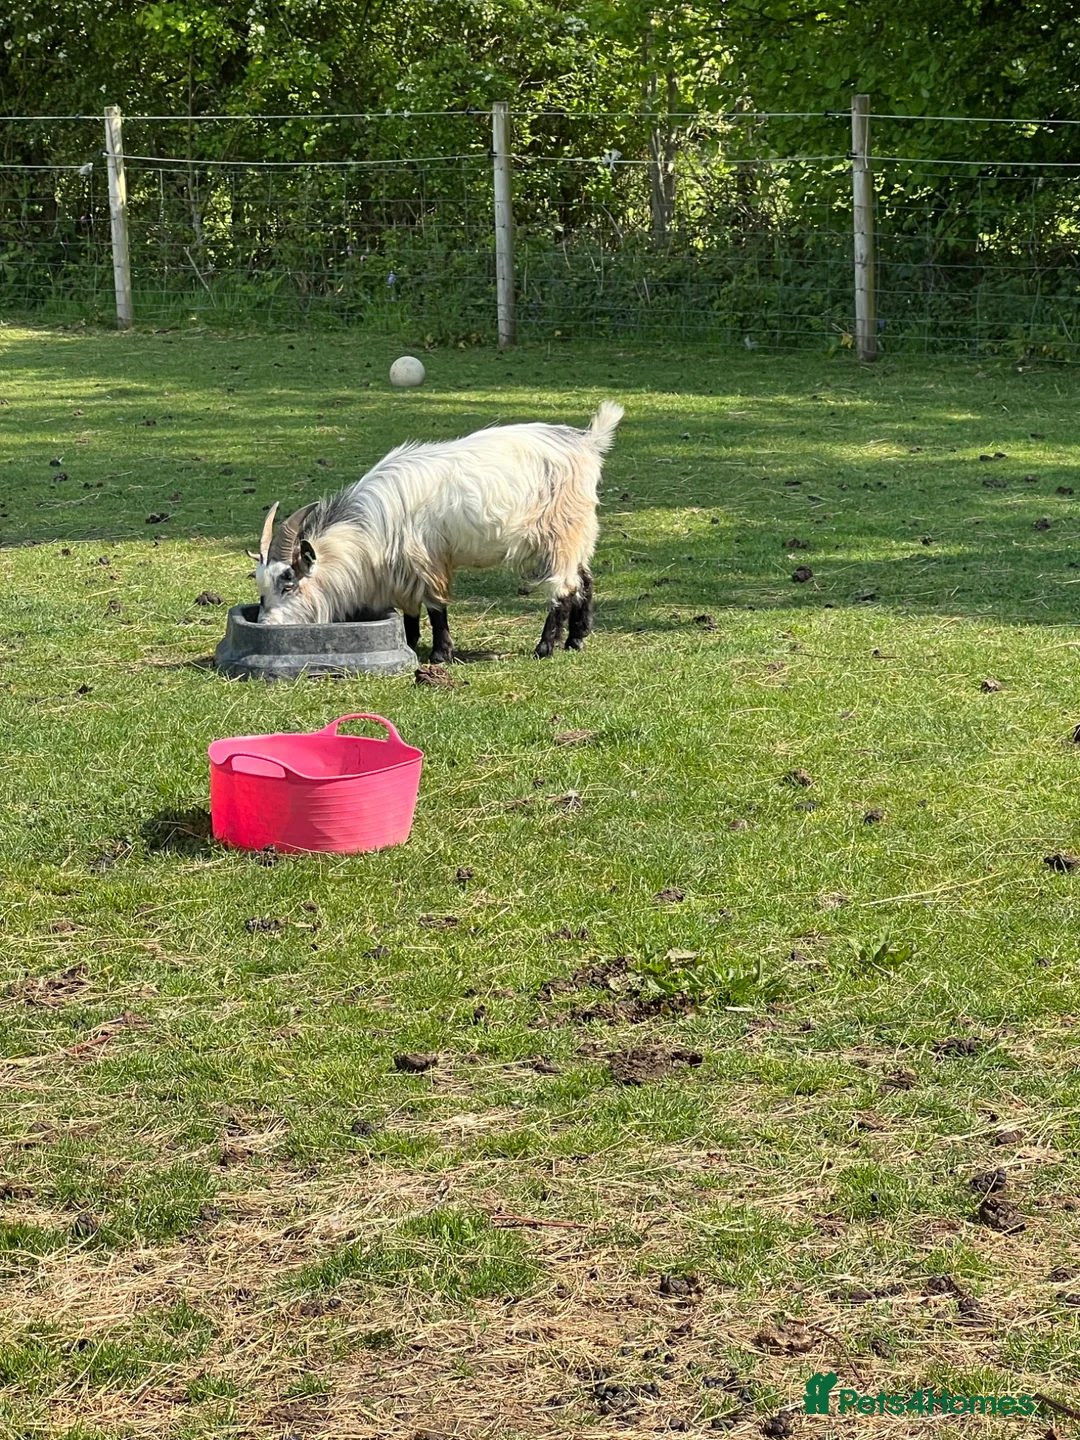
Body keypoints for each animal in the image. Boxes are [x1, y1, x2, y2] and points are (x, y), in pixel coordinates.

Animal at [253, 402, 623, 659]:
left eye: (288, 584)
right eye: (260, 590)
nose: (267, 626)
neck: (371, 524)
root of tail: (587, 444)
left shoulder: (427, 559)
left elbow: (435, 608)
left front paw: (440, 653)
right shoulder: (401, 570)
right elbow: (410, 610)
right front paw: (410, 641)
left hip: (560, 533)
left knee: (563, 588)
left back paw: (545, 647)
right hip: (579, 532)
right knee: (584, 578)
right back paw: (576, 639)